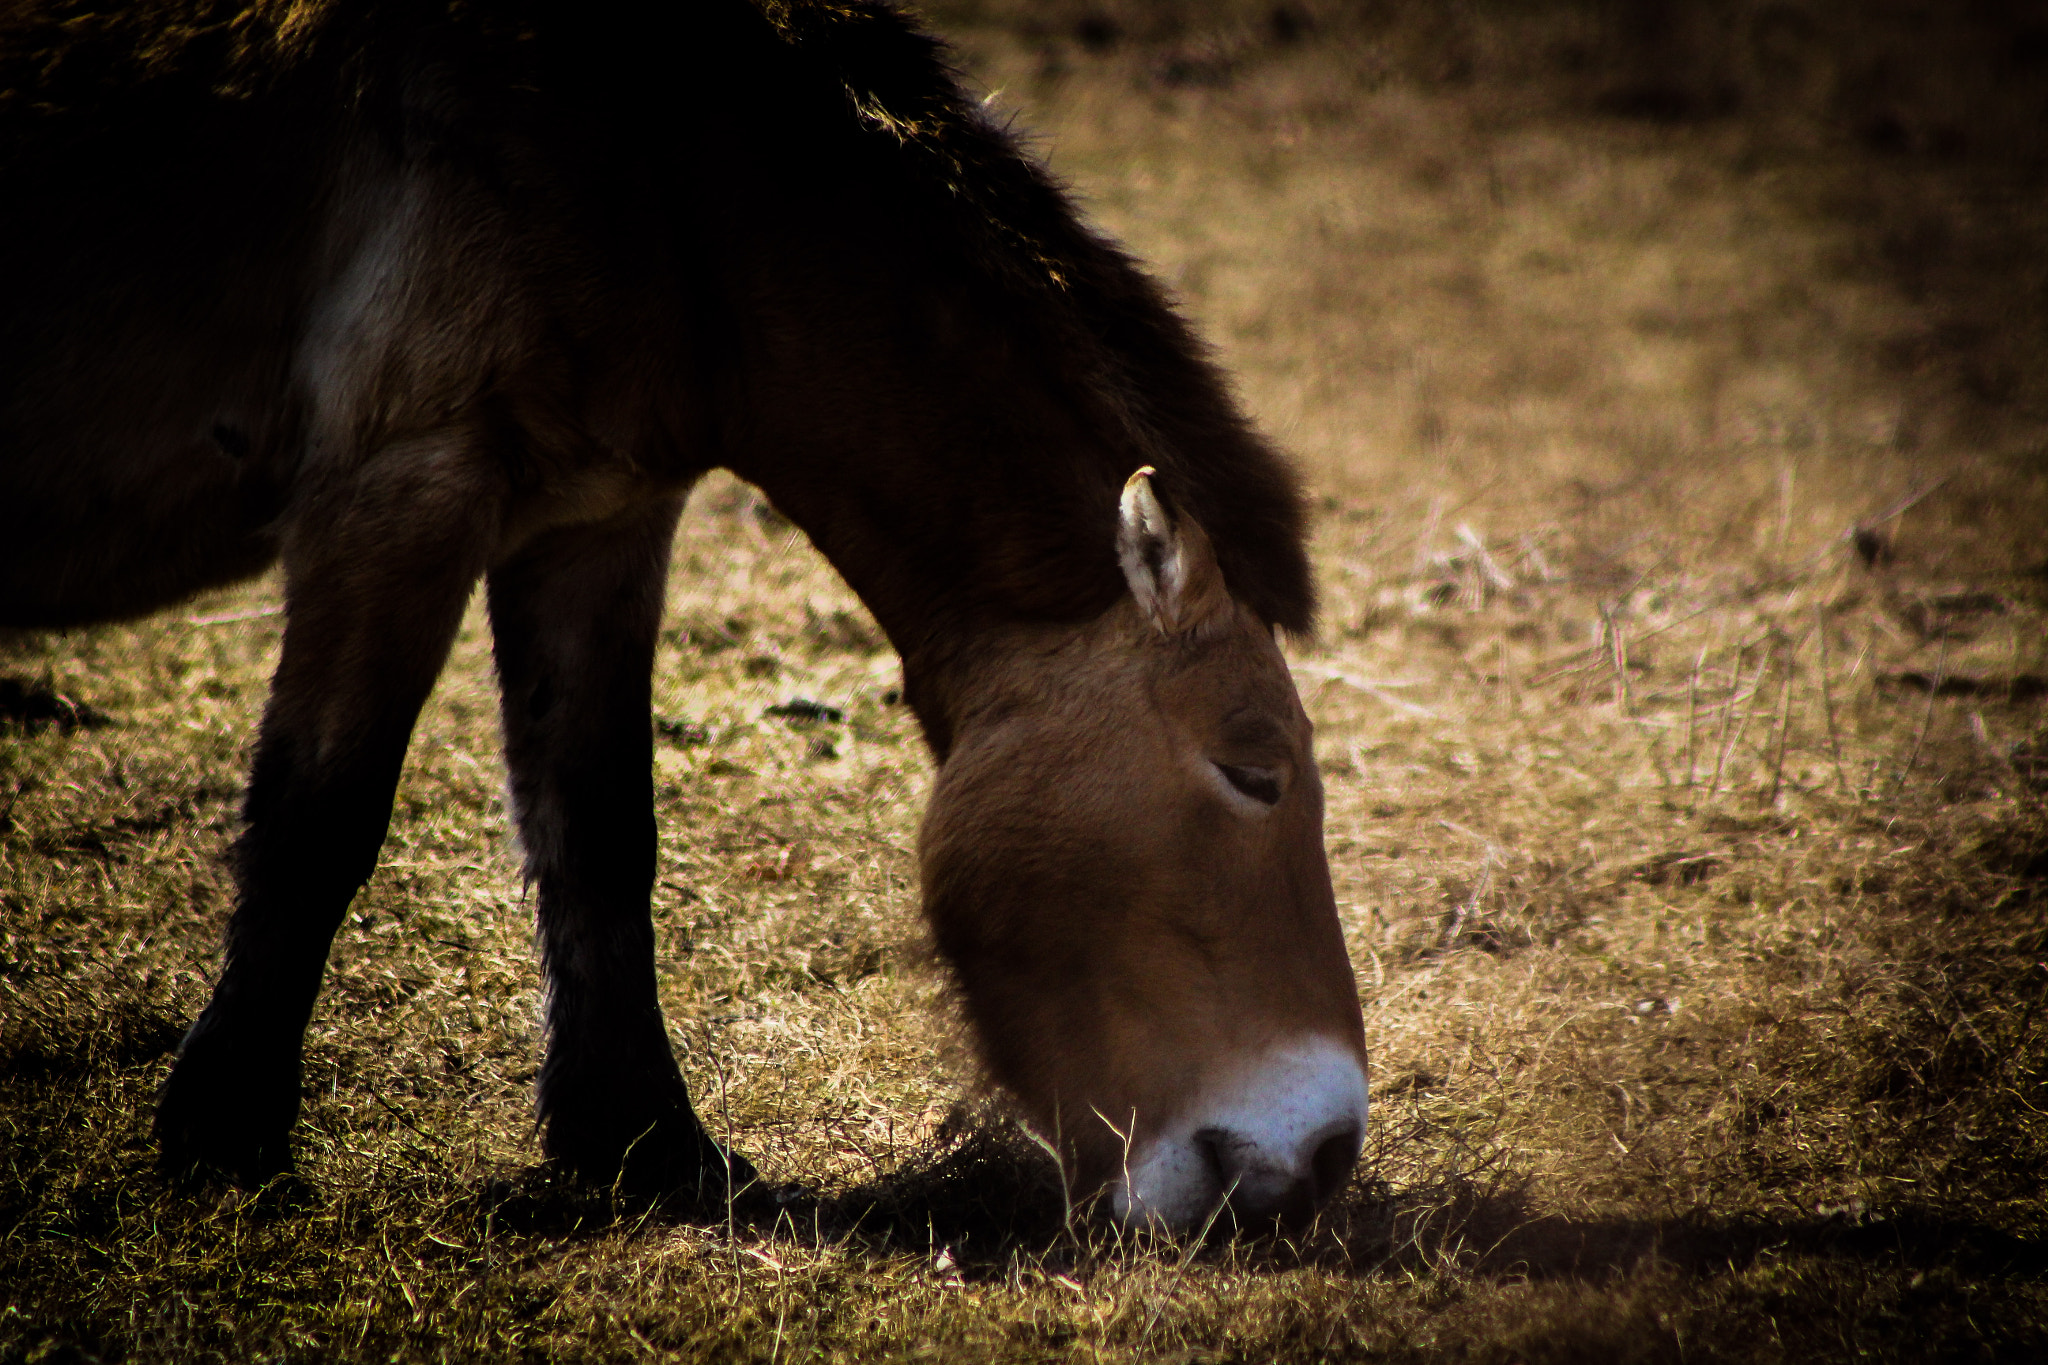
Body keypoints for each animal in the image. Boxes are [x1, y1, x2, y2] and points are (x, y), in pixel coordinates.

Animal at [4, 0, 1376, 1236]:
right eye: (1252, 771)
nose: (1316, 1162)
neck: (674, 173)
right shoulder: (400, 486)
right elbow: (318, 818)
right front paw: (225, 1142)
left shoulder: (597, 520)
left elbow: (601, 830)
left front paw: (645, 1146)